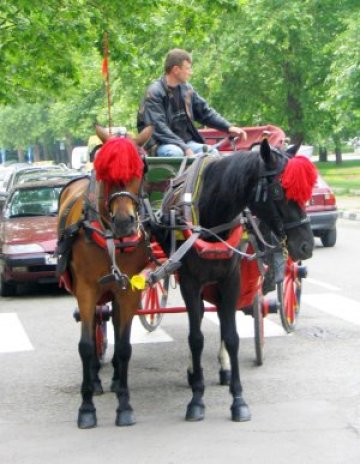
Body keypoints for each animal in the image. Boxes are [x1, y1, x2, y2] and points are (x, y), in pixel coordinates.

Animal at [57, 125, 152, 430]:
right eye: (104, 169)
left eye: (143, 167)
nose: (124, 222)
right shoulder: (86, 290)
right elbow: (86, 346)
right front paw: (86, 408)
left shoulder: (128, 290)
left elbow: (124, 347)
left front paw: (124, 405)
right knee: (97, 324)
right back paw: (97, 380)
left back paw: (114, 379)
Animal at [155, 140, 316, 422]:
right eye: (278, 190)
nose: (306, 246)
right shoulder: (189, 283)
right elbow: (195, 338)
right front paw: (196, 398)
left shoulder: (230, 280)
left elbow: (231, 336)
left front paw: (238, 399)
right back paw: (194, 372)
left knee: (220, 317)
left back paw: (224, 368)